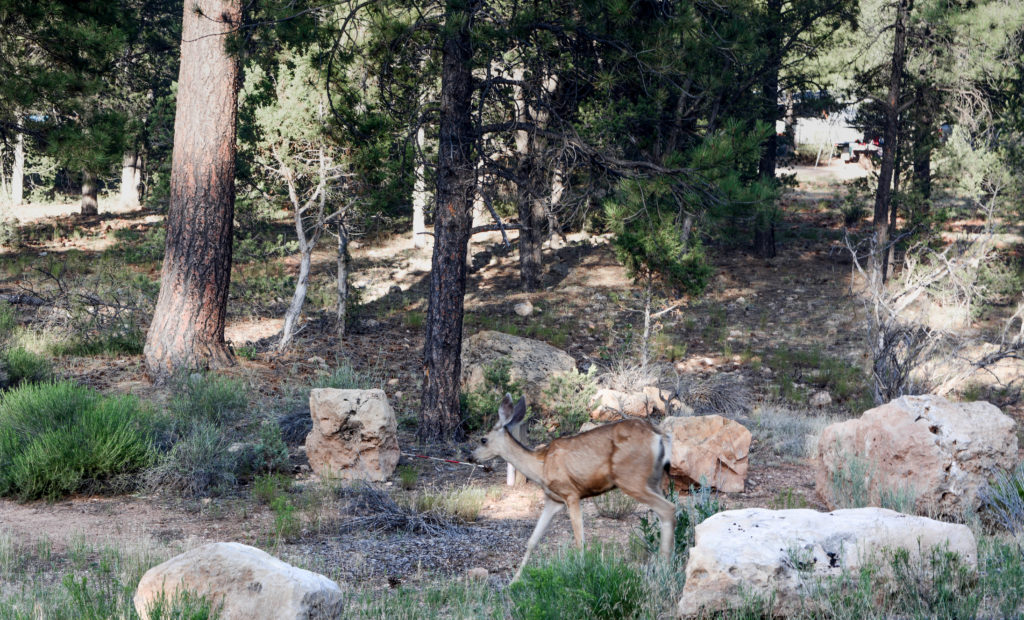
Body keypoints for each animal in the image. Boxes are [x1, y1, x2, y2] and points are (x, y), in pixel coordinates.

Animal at [473, 393, 679, 577]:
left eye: (483, 439)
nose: (471, 456)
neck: (540, 466)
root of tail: (658, 435)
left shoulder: (571, 493)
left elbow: (580, 541)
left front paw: (582, 572)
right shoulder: (553, 500)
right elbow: (532, 540)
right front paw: (514, 582)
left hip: (631, 478)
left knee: (668, 508)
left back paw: (664, 569)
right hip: (654, 480)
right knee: (663, 514)